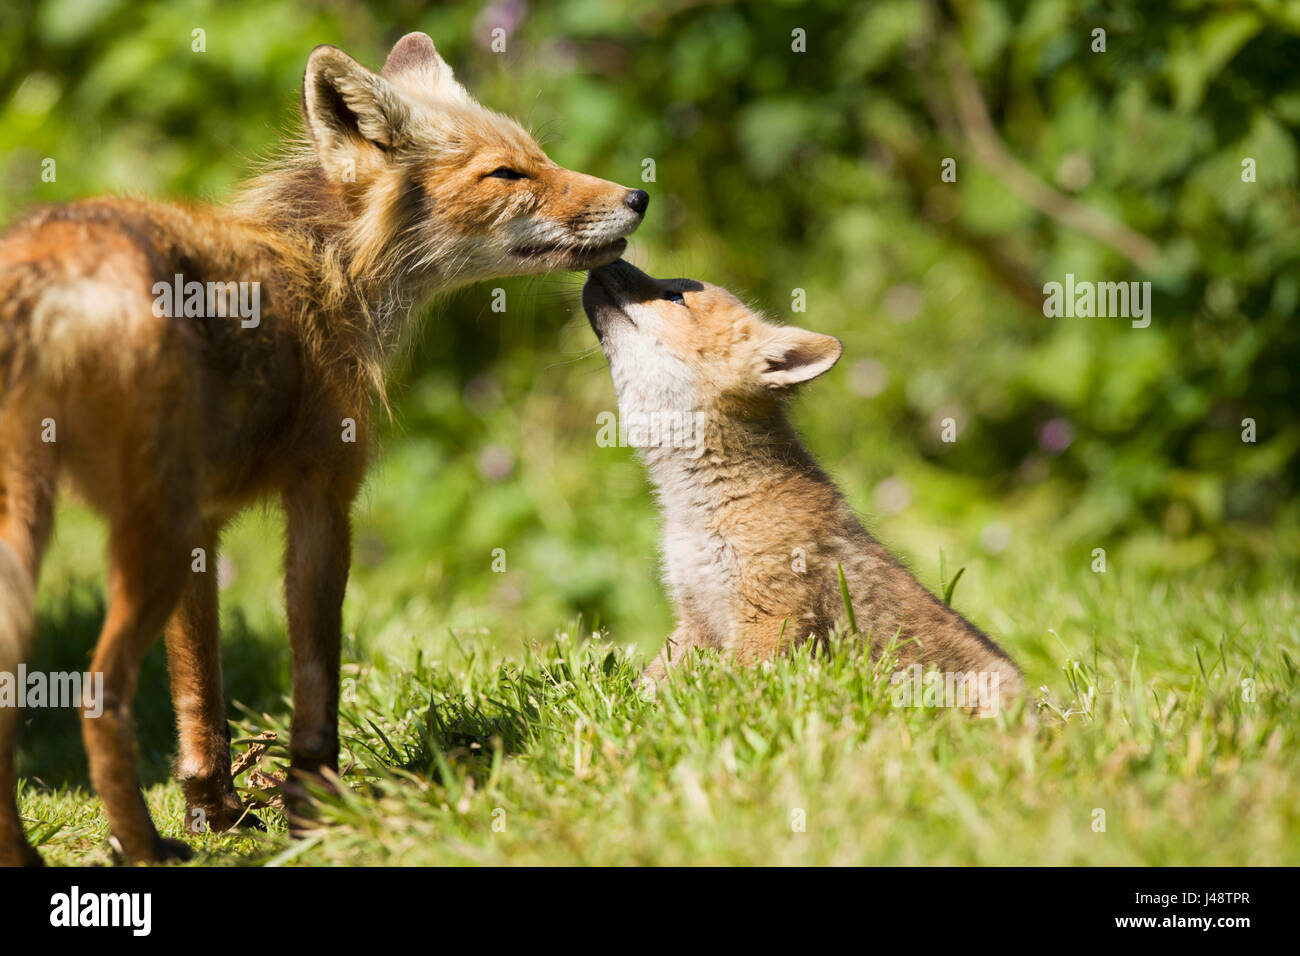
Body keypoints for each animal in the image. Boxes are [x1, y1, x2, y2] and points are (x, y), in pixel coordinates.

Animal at [0, 31, 647, 868]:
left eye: (540, 156)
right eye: (507, 173)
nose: (638, 197)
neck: (327, 268)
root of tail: (44, 255)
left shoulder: (203, 525)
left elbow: (200, 692)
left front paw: (216, 810)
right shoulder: (322, 497)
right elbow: (315, 675)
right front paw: (316, 807)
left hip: (55, 523)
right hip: (143, 536)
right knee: (96, 695)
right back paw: (141, 849)